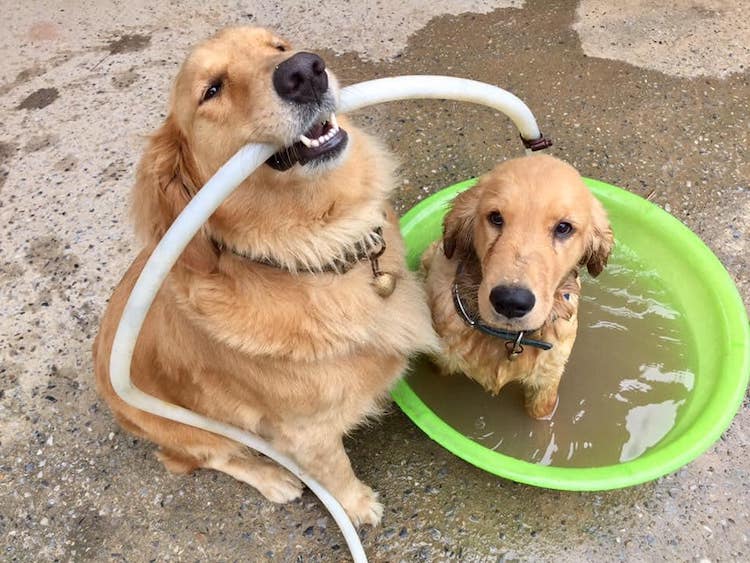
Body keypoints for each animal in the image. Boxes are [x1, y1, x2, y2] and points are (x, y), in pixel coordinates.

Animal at [92, 26, 440, 528]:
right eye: (212, 90)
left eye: (278, 46)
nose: (305, 72)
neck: (314, 250)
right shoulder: (304, 432)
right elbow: (335, 469)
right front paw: (357, 506)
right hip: (193, 428)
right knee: (212, 457)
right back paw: (273, 479)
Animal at [426, 156, 612, 420]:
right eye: (495, 217)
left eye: (564, 227)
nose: (510, 302)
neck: (507, 338)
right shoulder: (440, 359)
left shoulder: (547, 380)